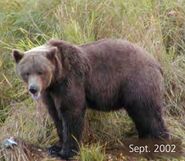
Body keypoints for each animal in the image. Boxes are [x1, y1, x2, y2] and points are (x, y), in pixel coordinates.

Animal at [12, 39, 169, 160]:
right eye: (26, 72)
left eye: (41, 71)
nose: (33, 89)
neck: (56, 78)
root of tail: (157, 63)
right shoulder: (50, 93)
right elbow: (55, 114)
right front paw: (55, 147)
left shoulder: (71, 80)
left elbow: (71, 111)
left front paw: (66, 152)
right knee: (141, 117)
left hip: (138, 82)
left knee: (149, 113)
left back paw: (160, 144)